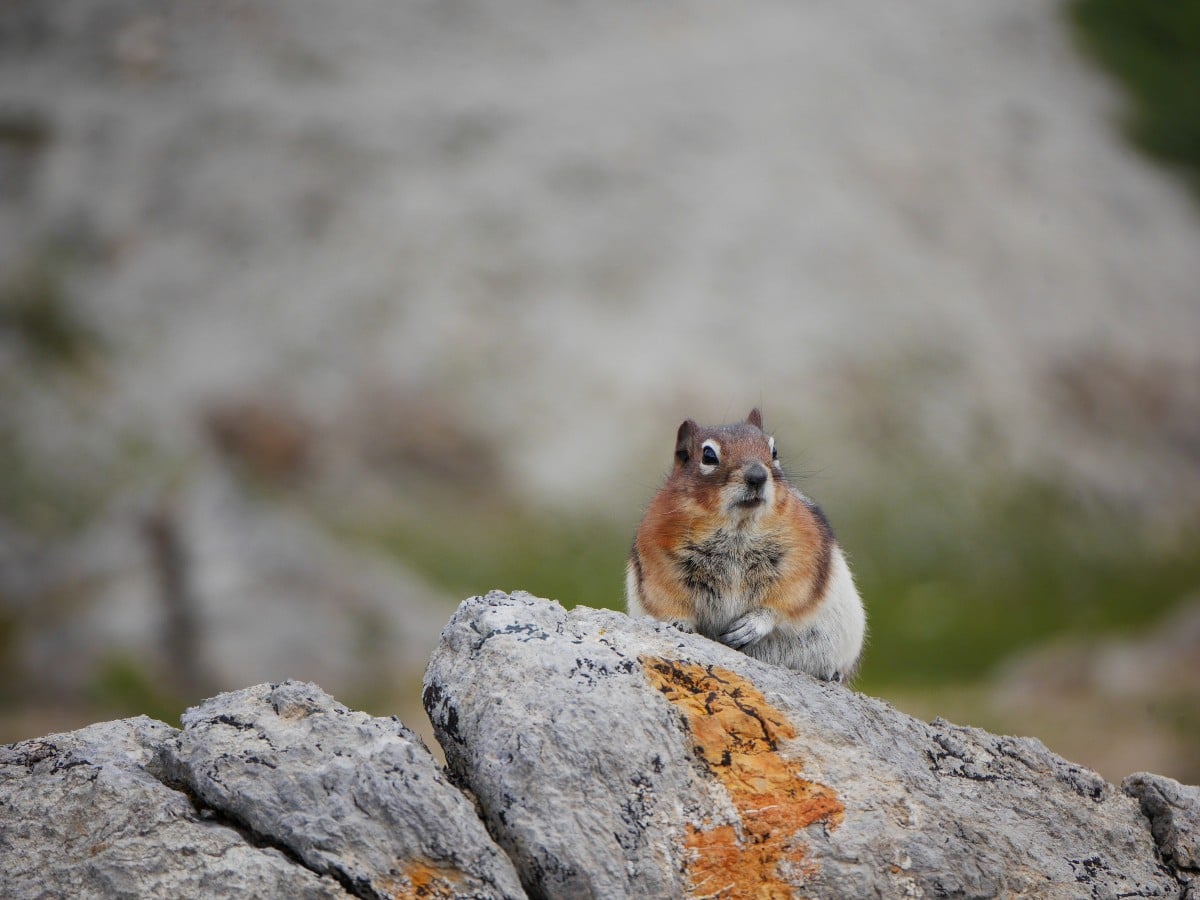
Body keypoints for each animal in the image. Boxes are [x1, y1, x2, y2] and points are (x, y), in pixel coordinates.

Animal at [624, 410, 868, 681]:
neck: (738, 529)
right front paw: (678, 623)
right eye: (708, 455)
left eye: (774, 450)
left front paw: (752, 625)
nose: (757, 475)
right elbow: (668, 600)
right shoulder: (660, 564)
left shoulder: (801, 556)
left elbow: (785, 599)